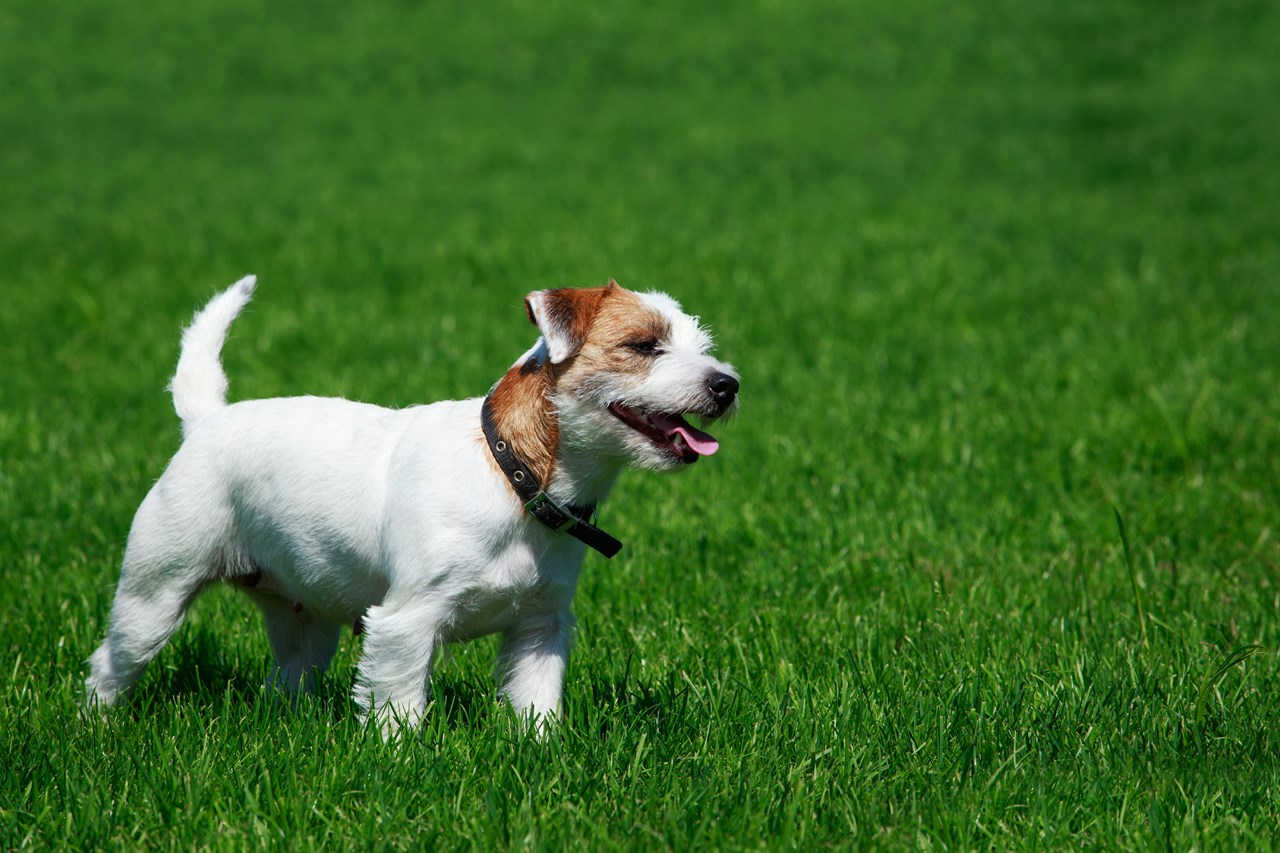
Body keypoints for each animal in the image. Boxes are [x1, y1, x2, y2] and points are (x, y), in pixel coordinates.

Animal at [85, 277, 742, 732]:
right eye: (644, 345)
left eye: (703, 346)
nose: (727, 384)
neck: (511, 473)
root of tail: (206, 422)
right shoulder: (405, 623)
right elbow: (398, 704)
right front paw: (399, 759)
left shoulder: (541, 627)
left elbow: (536, 704)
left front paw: (541, 753)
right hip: (154, 594)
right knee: (111, 664)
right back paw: (98, 725)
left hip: (305, 620)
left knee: (286, 678)